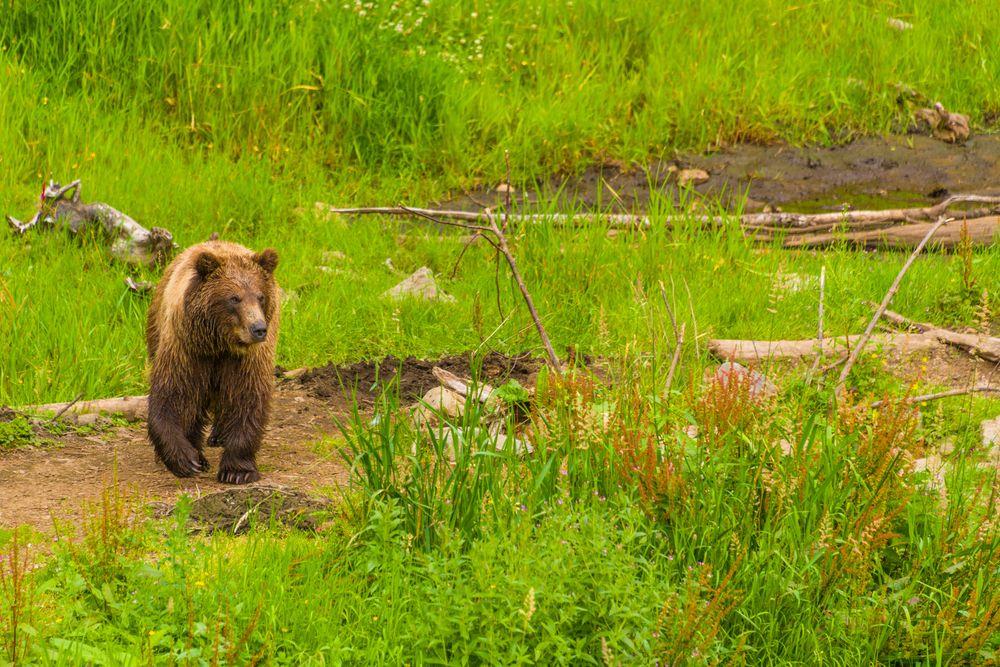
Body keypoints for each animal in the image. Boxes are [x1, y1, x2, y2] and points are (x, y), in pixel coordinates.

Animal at [146, 240, 280, 484]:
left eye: (260, 296)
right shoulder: (186, 349)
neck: (219, 343)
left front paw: (237, 470)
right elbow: (172, 396)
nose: (258, 329)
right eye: (234, 298)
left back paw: (219, 435)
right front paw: (186, 459)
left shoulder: (247, 359)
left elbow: (248, 398)